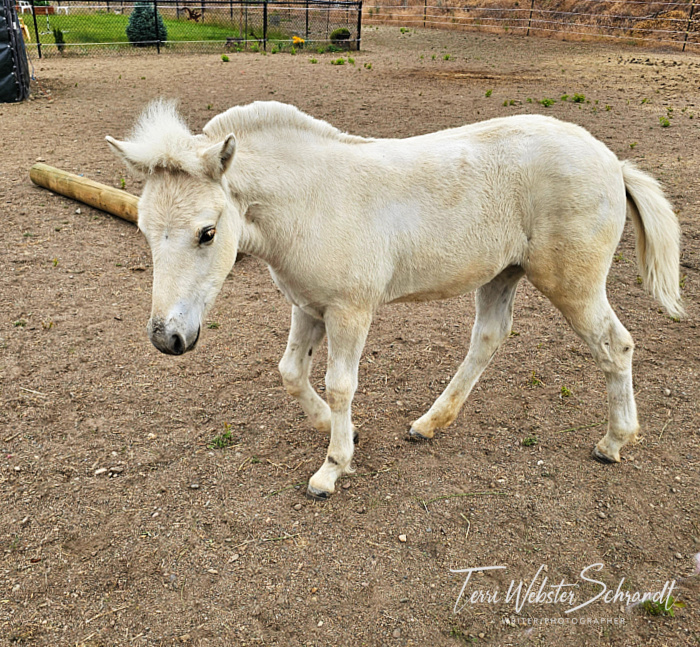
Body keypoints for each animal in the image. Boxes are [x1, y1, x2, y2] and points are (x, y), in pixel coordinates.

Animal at [106, 99, 683, 500]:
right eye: (143, 229)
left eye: (207, 232)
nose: (166, 338)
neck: (312, 200)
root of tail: (613, 161)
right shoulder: (307, 306)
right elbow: (291, 372)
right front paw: (338, 431)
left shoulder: (350, 311)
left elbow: (340, 385)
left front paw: (332, 468)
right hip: (502, 274)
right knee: (488, 339)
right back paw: (430, 423)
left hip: (573, 284)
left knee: (616, 345)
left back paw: (614, 442)